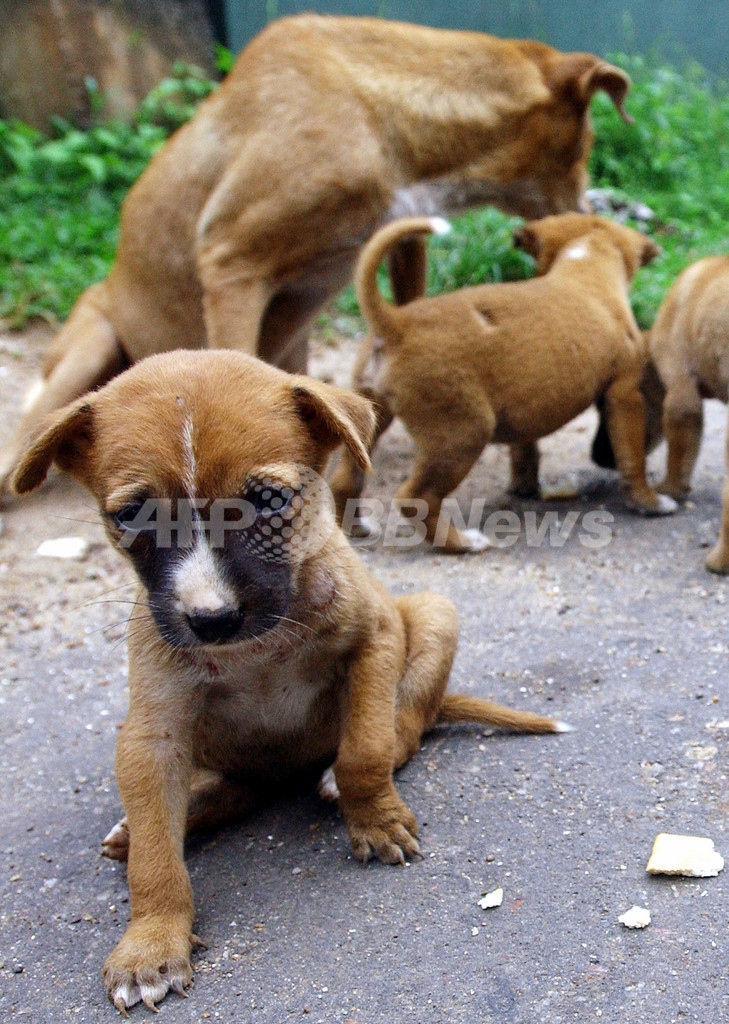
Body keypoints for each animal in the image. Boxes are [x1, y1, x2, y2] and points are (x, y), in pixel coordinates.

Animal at [0, 11, 630, 499]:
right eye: (589, 142)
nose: (592, 207)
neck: (379, 109)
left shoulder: (401, 242)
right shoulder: (231, 263)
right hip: (89, 351)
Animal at [12, 348, 569, 1011]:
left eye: (270, 500)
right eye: (131, 514)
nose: (213, 619)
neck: (257, 651)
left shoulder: (375, 639)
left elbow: (364, 750)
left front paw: (375, 820)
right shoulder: (153, 731)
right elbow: (154, 855)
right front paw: (150, 942)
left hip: (435, 612)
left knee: (406, 724)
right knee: (227, 795)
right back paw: (160, 820)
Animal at [329, 214, 675, 552]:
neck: (585, 263)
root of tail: (396, 322)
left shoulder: (528, 405)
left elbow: (524, 450)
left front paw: (525, 486)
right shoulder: (624, 394)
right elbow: (633, 458)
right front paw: (650, 502)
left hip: (371, 418)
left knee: (345, 480)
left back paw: (355, 529)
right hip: (464, 432)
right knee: (416, 497)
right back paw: (463, 542)